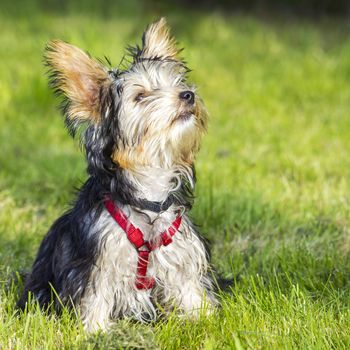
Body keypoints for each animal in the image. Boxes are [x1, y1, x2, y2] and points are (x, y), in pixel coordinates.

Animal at [18, 17, 219, 332]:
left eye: (176, 84)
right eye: (141, 96)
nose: (188, 95)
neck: (149, 194)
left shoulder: (181, 254)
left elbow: (189, 288)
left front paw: (203, 318)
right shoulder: (95, 261)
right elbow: (94, 296)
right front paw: (95, 332)